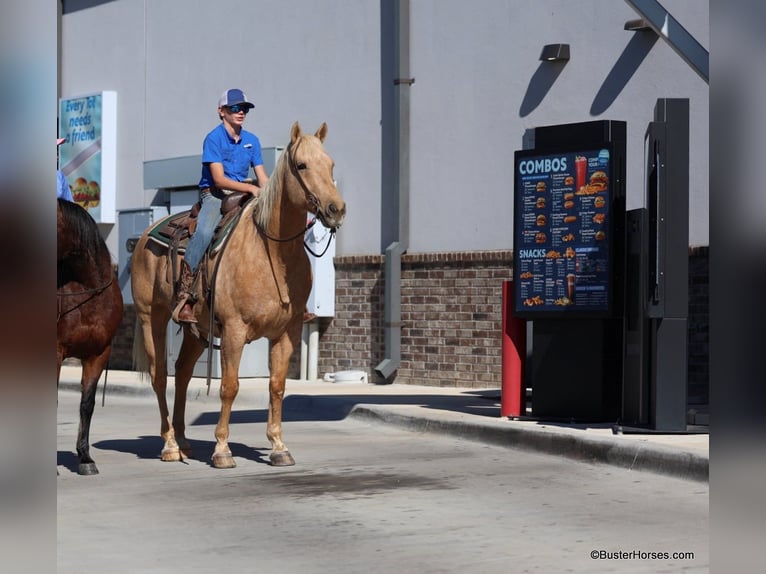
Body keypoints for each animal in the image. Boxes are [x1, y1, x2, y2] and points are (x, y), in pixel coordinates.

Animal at [130, 121, 346, 468]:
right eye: (301, 165)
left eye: (331, 165)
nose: (336, 210)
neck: (271, 251)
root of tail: (145, 237)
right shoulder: (234, 329)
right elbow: (229, 387)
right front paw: (222, 450)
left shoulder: (287, 332)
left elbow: (277, 386)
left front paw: (279, 447)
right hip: (153, 318)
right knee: (159, 376)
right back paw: (170, 445)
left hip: (196, 330)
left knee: (183, 373)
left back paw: (184, 441)